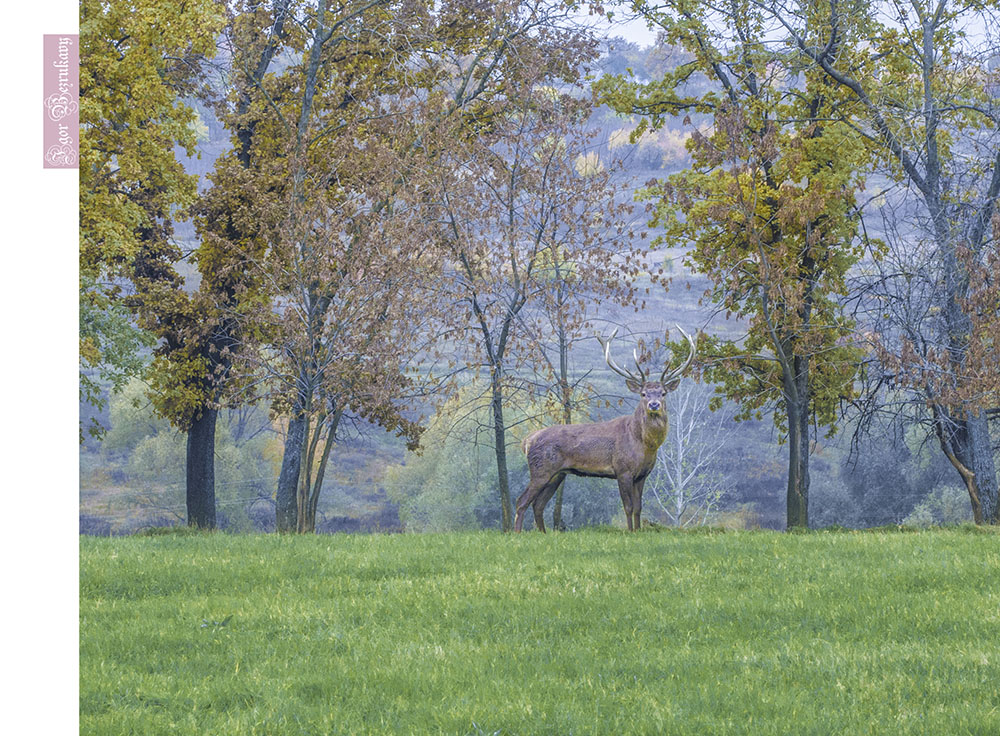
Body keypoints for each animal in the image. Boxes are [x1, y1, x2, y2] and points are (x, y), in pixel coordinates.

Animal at [516, 326, 696, 528]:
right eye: (643, 393)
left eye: (663, 393)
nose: (654, 404)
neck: (643, 444)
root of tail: (527, 441)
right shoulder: (622, 469)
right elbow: (628, 507)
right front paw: (630, 531)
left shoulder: (642, 475)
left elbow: (639, 508)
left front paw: (639, 530)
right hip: (540, 469)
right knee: (522, 502)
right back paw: (516, 532)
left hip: (557, 474)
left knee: (538, 504)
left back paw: (543, 532)